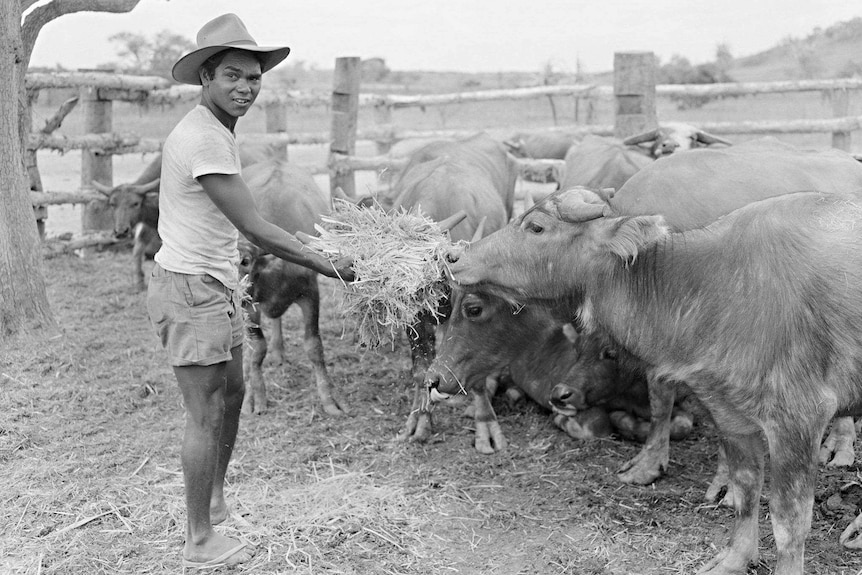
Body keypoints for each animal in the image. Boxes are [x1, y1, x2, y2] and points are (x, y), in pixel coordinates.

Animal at [236, 160, 344, 416]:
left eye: (245, 261)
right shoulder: (249, 305)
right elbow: (257, 348)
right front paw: (254, 397)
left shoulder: (310, 294)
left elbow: (313, 345)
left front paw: (328, 399)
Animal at [448, 186, 862, 575]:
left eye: (535, 226)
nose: (454, 257)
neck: (713, 288)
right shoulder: (728, 412)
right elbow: (745, 491)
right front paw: (734, 560)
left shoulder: (799, 418)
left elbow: (789, 519)